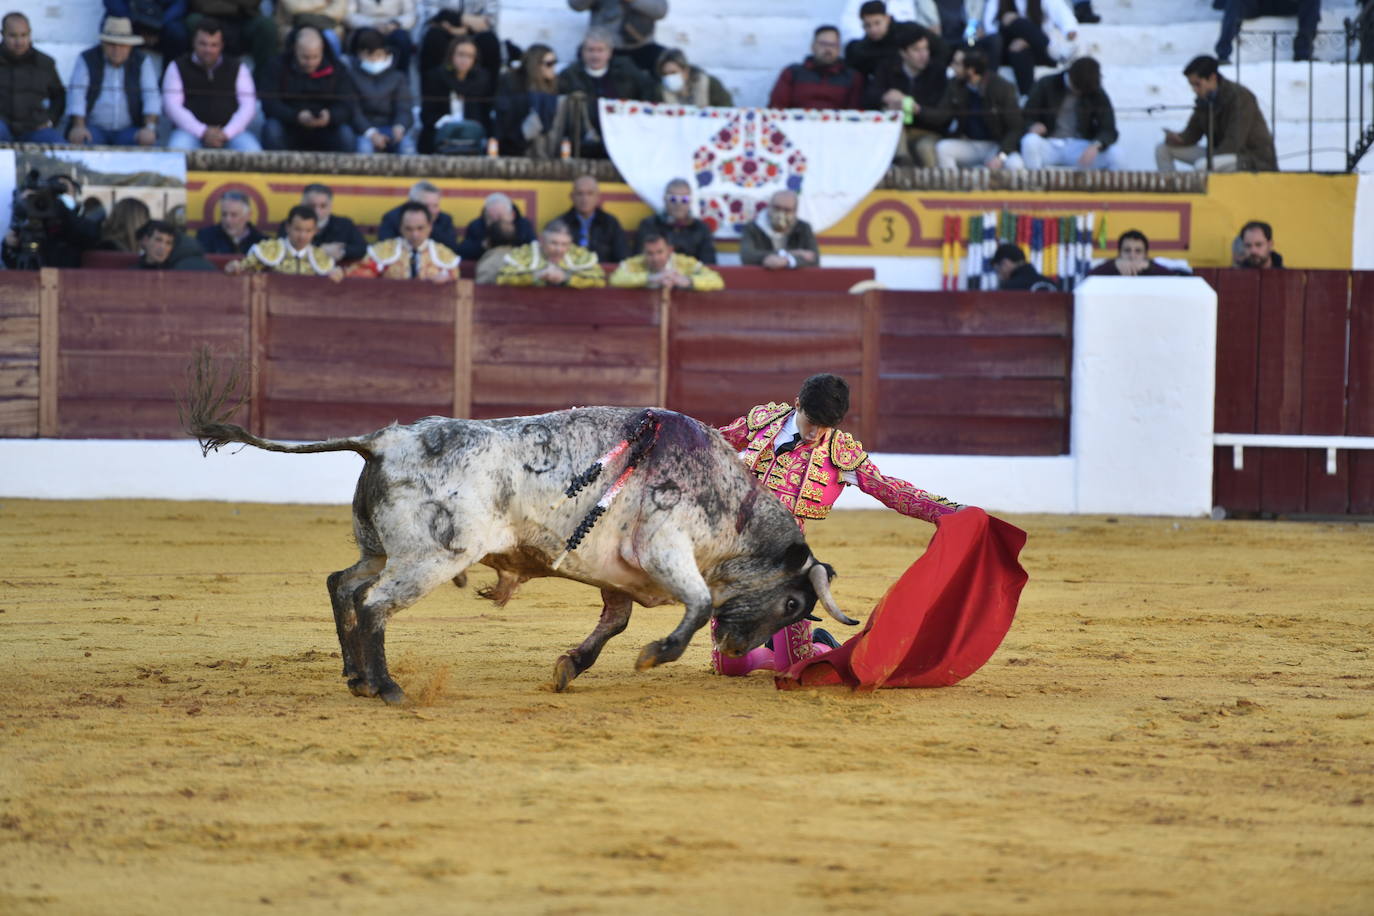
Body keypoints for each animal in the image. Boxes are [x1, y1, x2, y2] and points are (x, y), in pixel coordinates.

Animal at [177, 351, 851, 703]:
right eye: (794, 603)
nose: (735, 651)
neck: (729, 503)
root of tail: (384, 440)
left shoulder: (615, 574)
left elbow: (613, 621)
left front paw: (570, 667)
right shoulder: (664, 548)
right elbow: (697, 603)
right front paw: (652, 657)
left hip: (382, 549)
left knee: (343, 583)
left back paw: (356, 678)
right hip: (431, 558)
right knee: (373, 603)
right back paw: (389, 687)